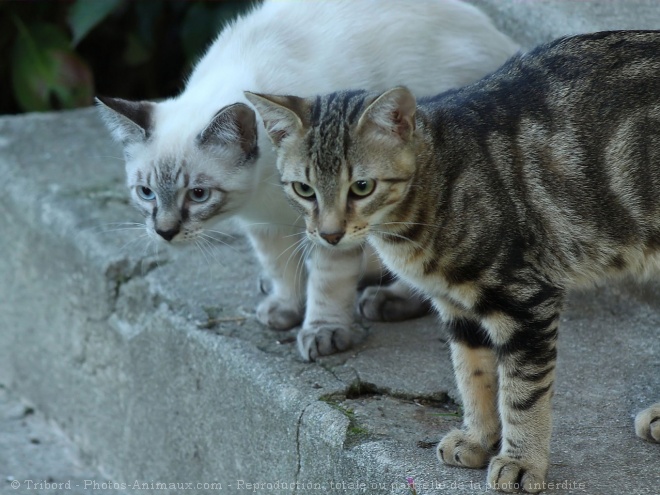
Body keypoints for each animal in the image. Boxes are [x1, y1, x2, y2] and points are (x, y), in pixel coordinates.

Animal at [95, 0, 520, 364]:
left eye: (198, 195)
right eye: (146, 193)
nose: (164, 232)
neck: (265, 191)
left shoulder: (335, 217)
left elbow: (327, 282)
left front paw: (322, 332)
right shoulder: (264, 224)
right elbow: (280, 267)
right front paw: (284, 308)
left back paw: (386, 300)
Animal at [246, 30, 660, 492]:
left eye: (362, 187)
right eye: (303, 189)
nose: (330, 235)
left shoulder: (527, 300)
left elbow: (521, 394)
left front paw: (521, 461)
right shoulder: (457, 307)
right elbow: (472, 376)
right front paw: (478, 438)